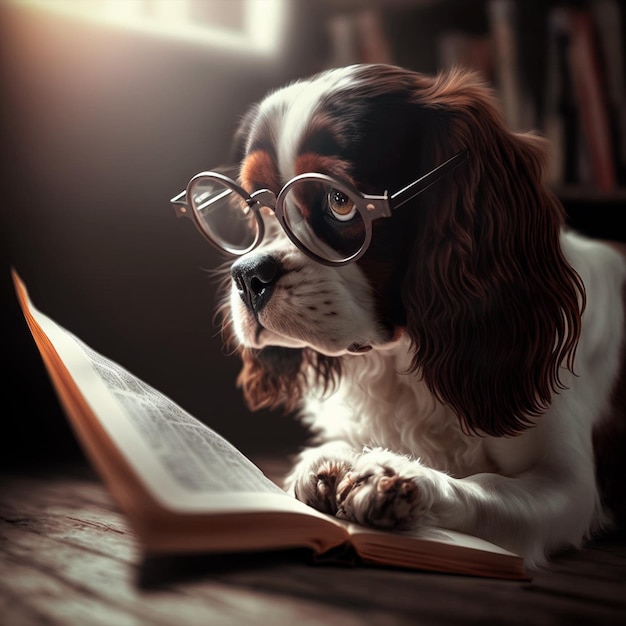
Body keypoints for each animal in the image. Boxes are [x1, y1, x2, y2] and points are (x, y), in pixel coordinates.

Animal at [172, 63, 624, 564]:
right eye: (251, 204)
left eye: (340, 202)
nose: (249, 275)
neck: (404, 357)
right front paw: (327, 463)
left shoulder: (568, 486)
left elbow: (487, 486)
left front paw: (399, 479)